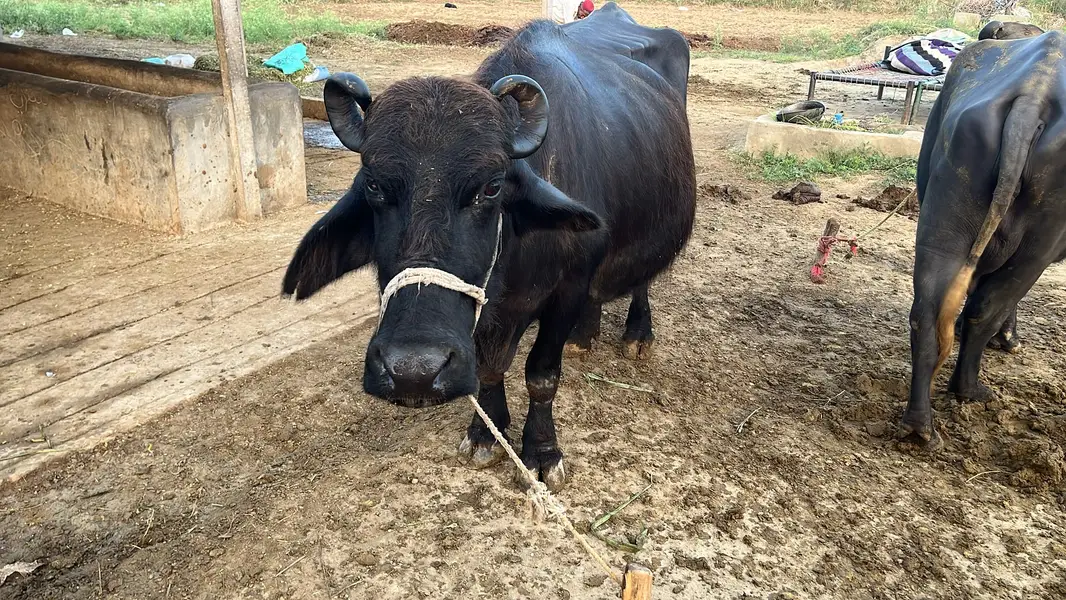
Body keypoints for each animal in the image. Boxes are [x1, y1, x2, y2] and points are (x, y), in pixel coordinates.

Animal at [283, 3, 696, 490]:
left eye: (492, 187)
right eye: (374, 185)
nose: (413, 372)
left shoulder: (567, 289)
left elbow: (541, 376)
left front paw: (541, 451)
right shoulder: (483, 315)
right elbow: (487, 371)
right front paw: (486, 433)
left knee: (643, 277)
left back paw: (637, 334)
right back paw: (585, 334)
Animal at [903, 31, 1066, 443]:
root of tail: (1032, 98)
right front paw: (1009, 339)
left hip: (944, 224)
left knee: (927, 311)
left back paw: (919, 425)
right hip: (1039, 247)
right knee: (988, 307)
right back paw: (972, 389)